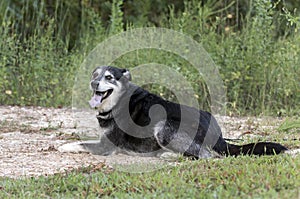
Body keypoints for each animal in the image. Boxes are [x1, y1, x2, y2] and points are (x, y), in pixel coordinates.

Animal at [58, 66, 288, 158]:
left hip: (162, 128)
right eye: (95, 74)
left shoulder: (105, 146)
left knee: (205, 155)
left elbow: (80, 144)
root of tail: (219, 134)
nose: (93, 83)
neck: (118, 100)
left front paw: (62, 145)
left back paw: (170, 157)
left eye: (108, 77)